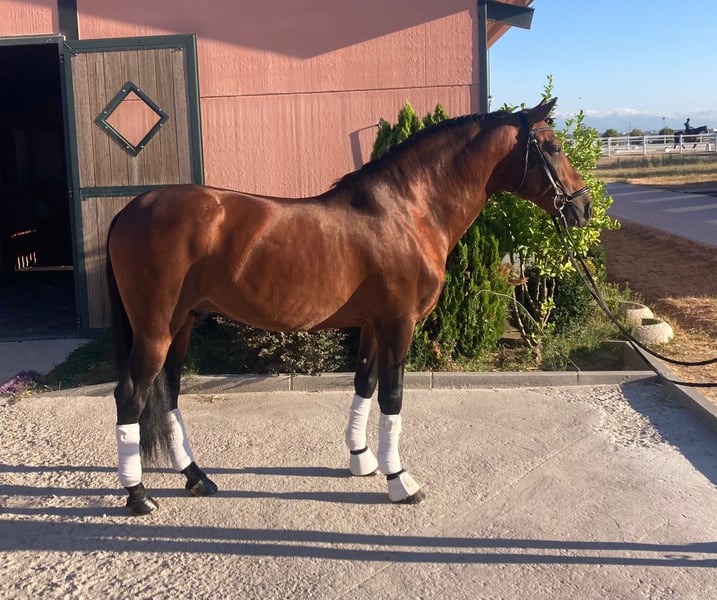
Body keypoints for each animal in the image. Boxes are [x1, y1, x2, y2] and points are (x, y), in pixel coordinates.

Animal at [106, 97, 592, 516]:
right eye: (553, 146)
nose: (584, 208)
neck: (408, 211)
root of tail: (129, 210)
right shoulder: (399, 324)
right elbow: (392, 396)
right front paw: (400, 481)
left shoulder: (373, 325)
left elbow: (364, 384)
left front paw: (361, 460)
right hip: (156, 329)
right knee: (131, 395)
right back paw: (139, 496)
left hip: (181, 324)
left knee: (168, 393)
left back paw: (196, 478)